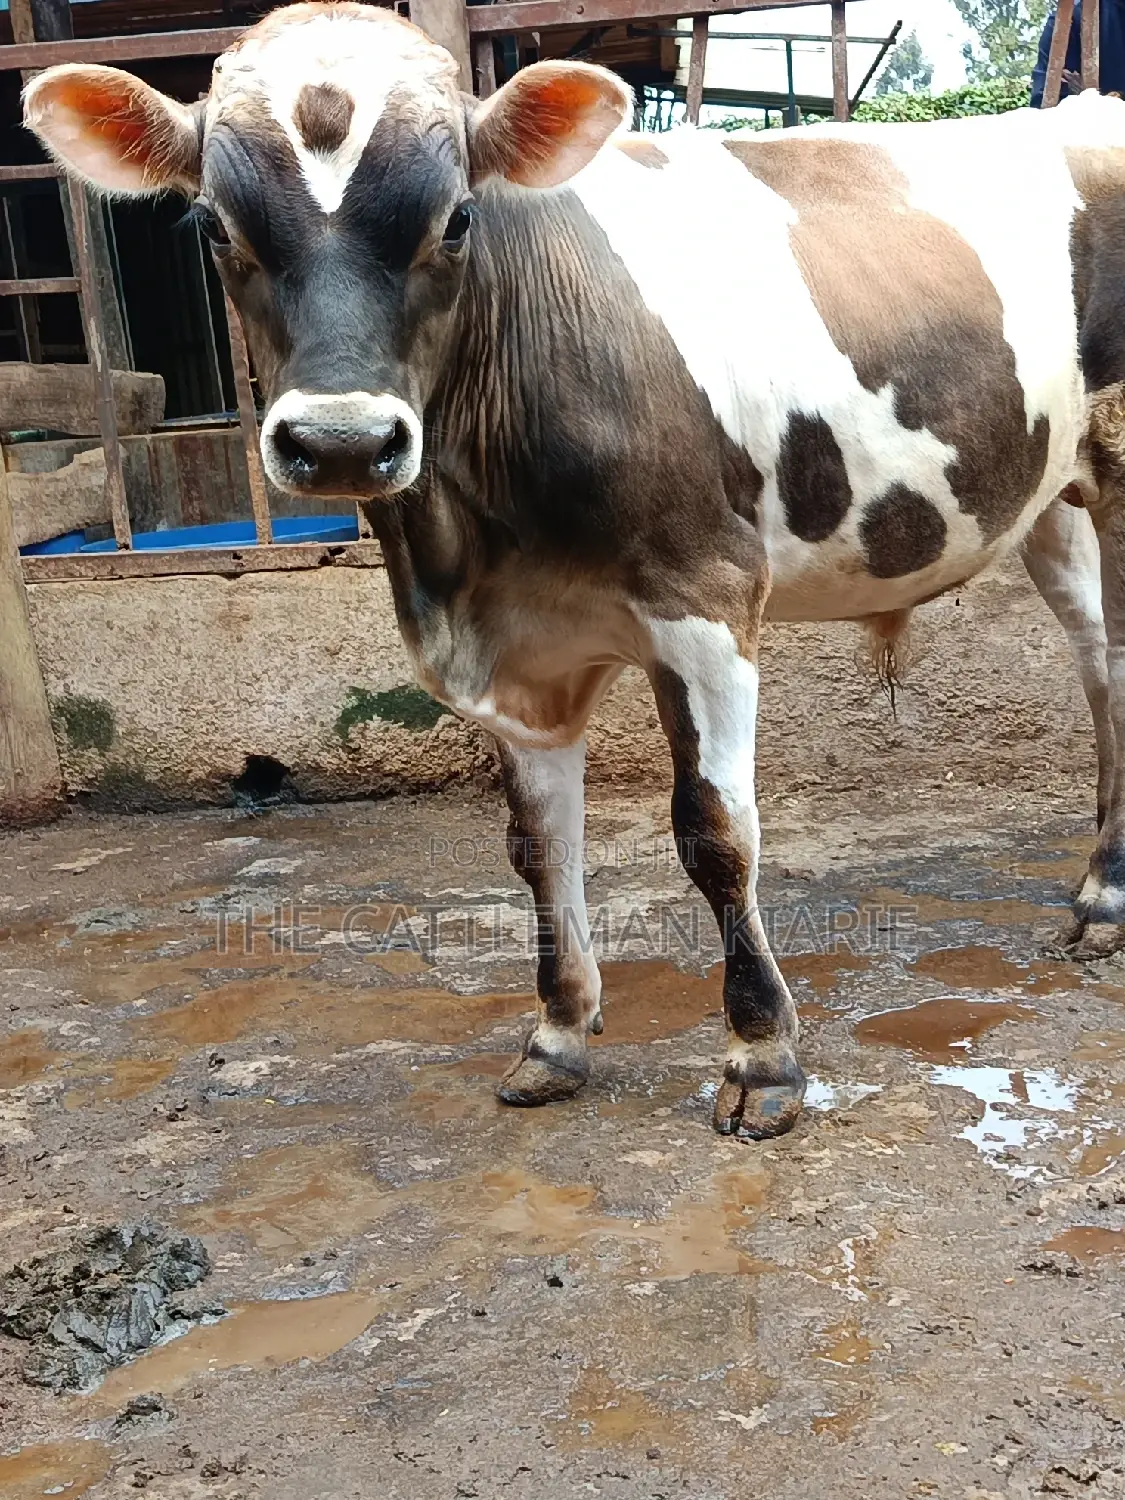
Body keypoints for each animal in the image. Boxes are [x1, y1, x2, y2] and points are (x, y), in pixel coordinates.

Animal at [23, 0, 1125, 1140]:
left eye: (458, 219)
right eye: (213, 228)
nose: (341, 442)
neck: (473, 547)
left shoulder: (705, 599)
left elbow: (715, 833)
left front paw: (763, 1057)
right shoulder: (512, 650)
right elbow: (536, 843)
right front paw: (556, 1032)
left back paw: (1098, 897)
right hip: (1046, 500)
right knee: (1102, 668)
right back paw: (1099, 893)